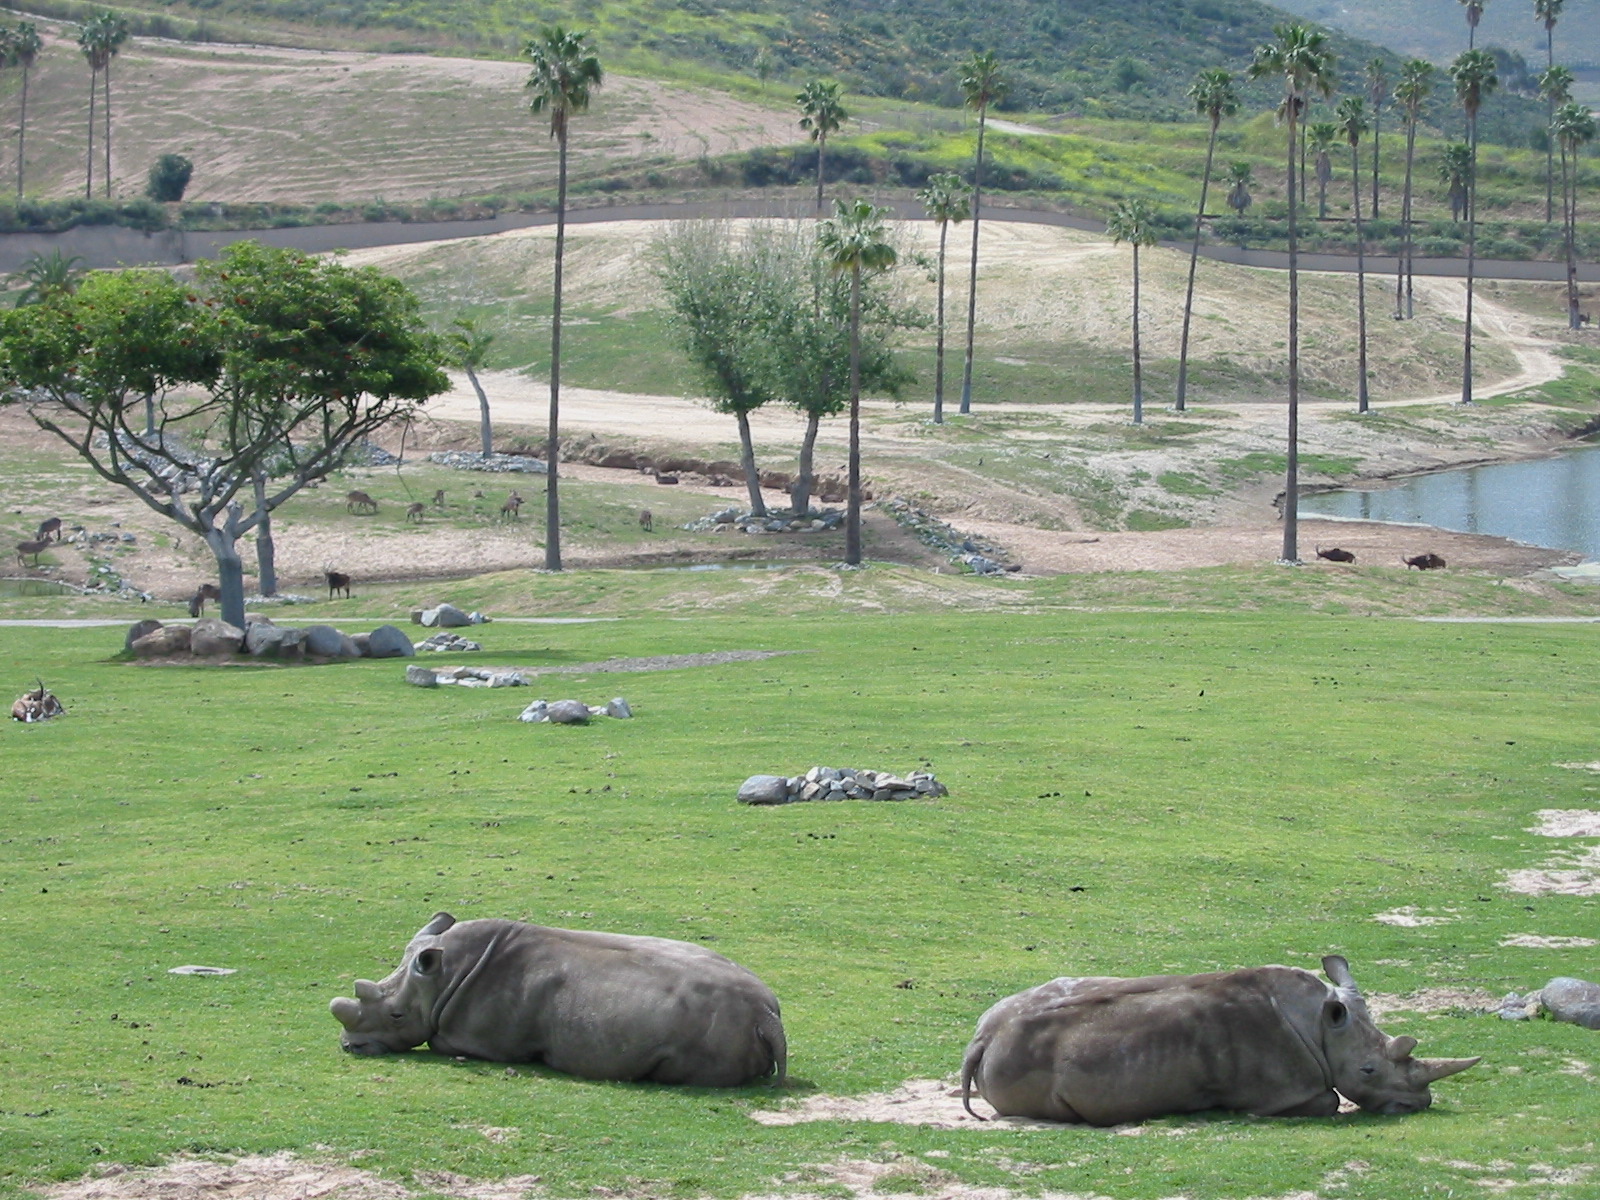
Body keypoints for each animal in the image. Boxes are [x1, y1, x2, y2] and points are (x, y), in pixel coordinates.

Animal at [330, 912, 786, 1087]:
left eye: (396, 1015)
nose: (349, 1047)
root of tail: (769, 1015)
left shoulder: (479, 1037)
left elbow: (441, 1040)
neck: (444, 976)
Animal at [960, 955, 1478, 1125]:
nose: (1418, 1105)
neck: (1321, 1025)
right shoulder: (1284, 1090)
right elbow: (1329, 1101)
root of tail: (981, 1040)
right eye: (1369, 1071)